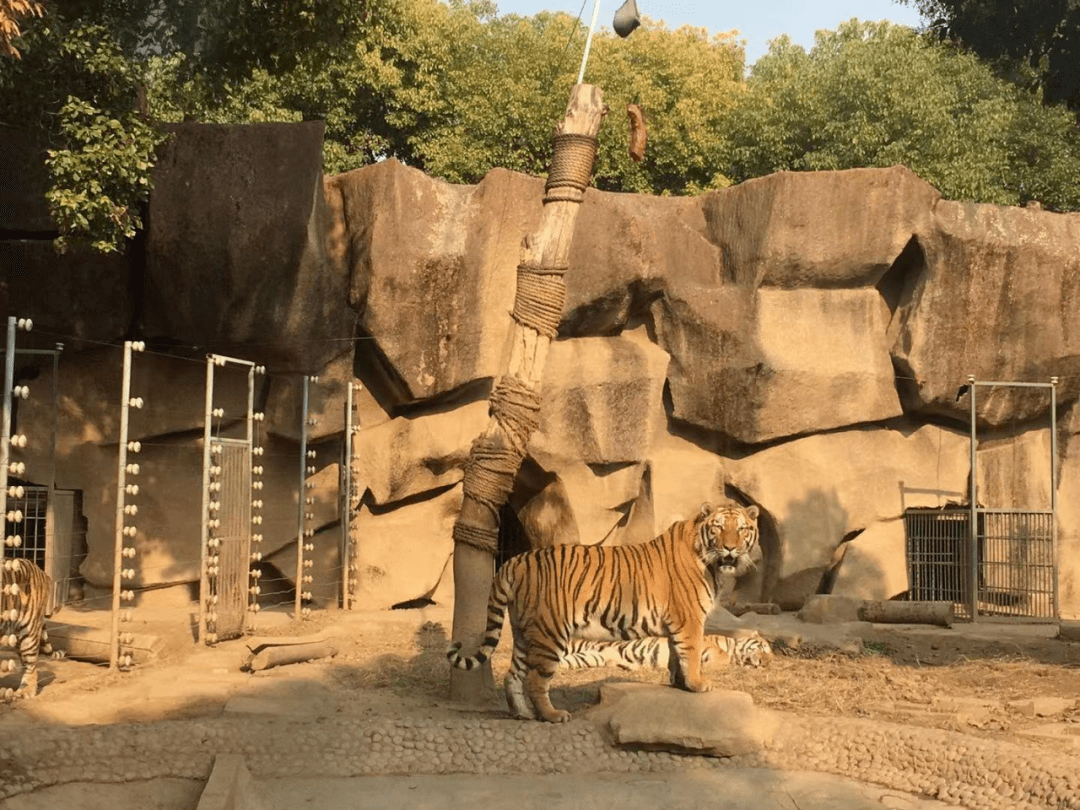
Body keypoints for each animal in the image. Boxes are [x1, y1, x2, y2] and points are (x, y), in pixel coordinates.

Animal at [447, 501, 760, 721]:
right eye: (718, 528)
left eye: (741, 529)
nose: (730, 548)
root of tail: (514, 561)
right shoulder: (690, 619)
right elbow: (691, 653)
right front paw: (697, 684)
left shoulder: (678, 622)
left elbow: (676, 654)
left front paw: (681, 685)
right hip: (551, 631)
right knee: (536, 680)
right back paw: (553, 716)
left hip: (524, 630)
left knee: (513, 675)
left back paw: (523, 714)